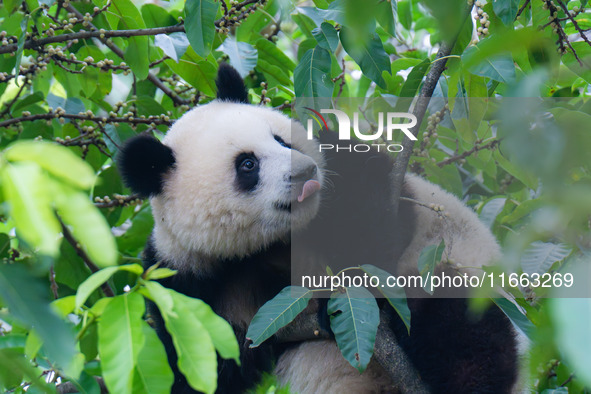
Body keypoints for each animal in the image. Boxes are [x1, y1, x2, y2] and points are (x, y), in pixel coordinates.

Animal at [119, 65, 520, 394]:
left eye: (281, 139)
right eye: (247, 164)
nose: (305, 172)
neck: (269, 240)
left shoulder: (341, 169)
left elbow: (378, 219)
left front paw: (349, 300)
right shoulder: (188, 276)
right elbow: (212, 361)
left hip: (449, 269)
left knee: (466, 333)